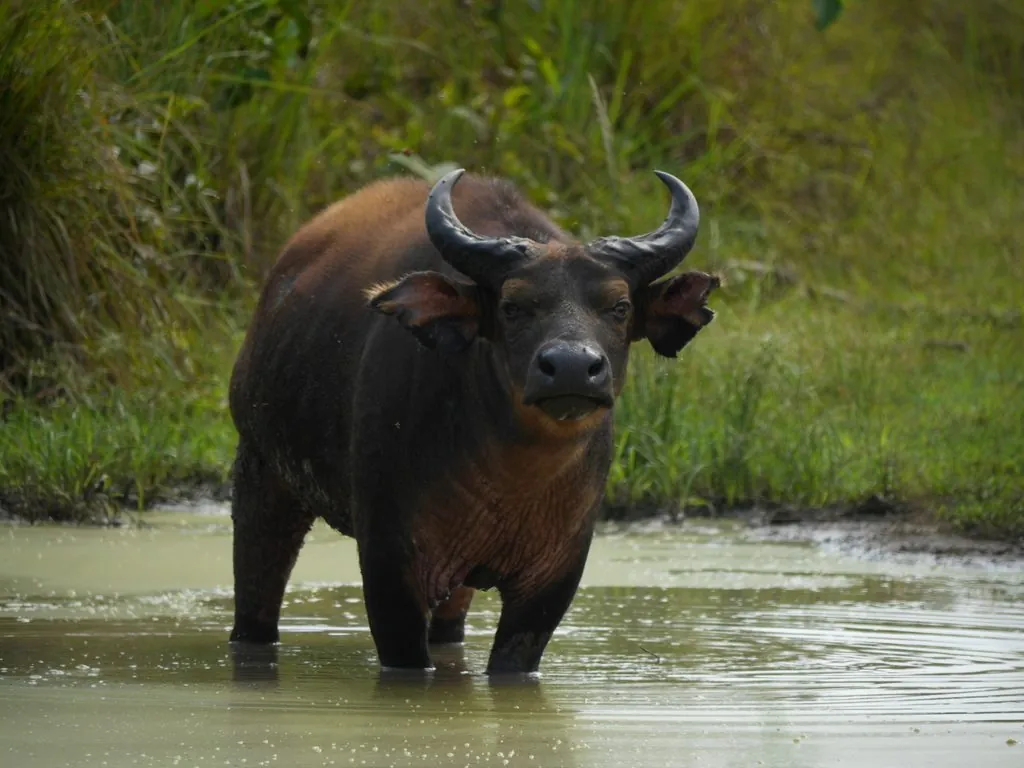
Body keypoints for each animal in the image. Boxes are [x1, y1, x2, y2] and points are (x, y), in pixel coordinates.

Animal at [228, 168, 718, 675]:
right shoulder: (390, 563)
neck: (511, 480)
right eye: (512, 306)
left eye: (619, 307)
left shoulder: (552, 579)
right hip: (261, 471)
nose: (571, 366)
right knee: (255, 599)